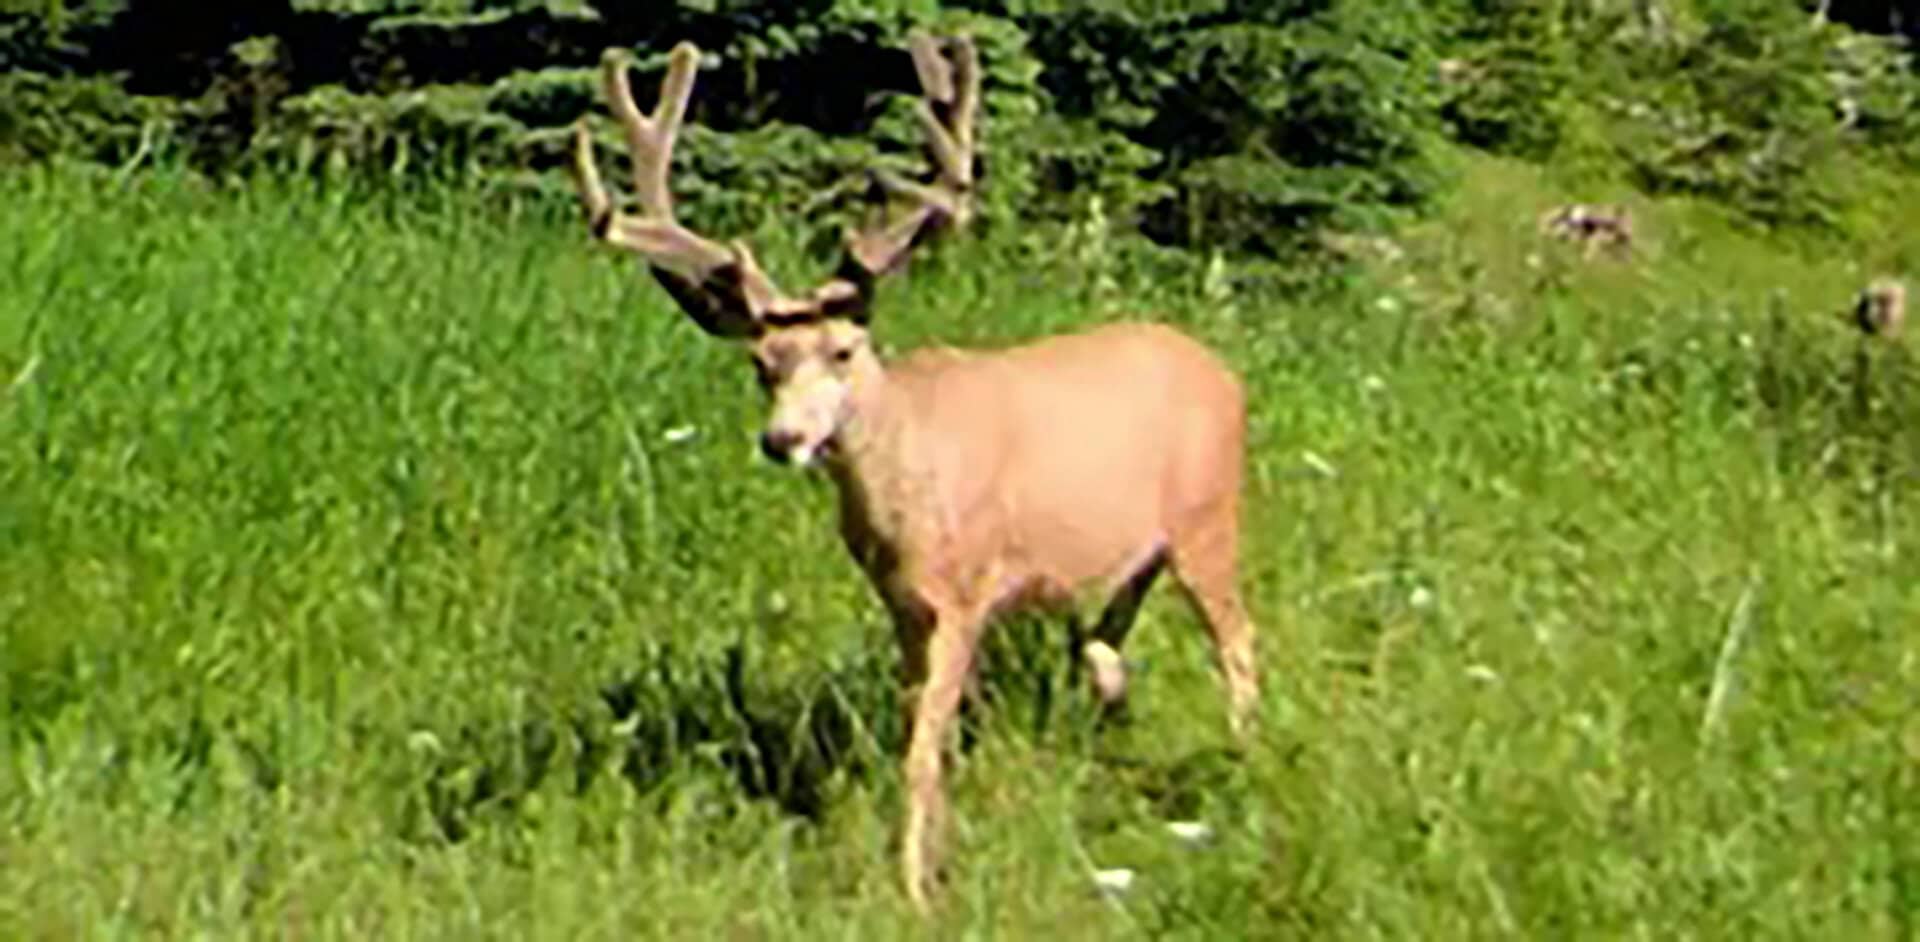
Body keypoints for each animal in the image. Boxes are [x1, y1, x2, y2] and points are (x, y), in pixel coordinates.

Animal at [564, 33, 1261, 911]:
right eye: (763, 363)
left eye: (843, 350)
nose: (782, 439)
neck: (906, 494)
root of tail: (1221, 371)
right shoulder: (901, 605)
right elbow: (925, 733)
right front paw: (936, 857)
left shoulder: (966, 594)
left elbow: (923, 748)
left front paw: (915, 886)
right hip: (1140, 545)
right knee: (1112, 635)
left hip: (1211, 516)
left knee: (1239, 642)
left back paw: (1244, 764)